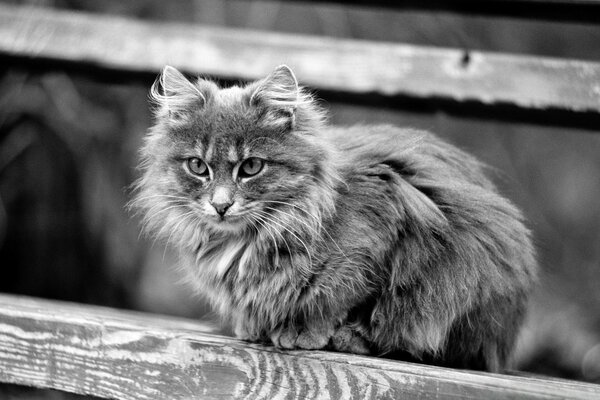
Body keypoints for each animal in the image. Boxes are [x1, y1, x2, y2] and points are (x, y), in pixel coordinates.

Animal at [134, 64, 536, 374]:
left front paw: (303, 331)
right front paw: (253, 327)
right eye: (197, 166)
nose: (221, 205)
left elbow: (341, 298)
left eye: (250, 167)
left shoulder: (382, 230)